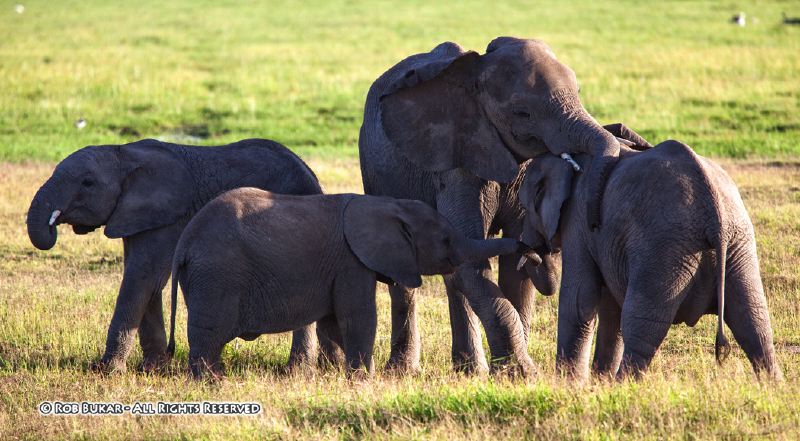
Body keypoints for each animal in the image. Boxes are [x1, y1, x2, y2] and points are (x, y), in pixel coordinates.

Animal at [26, 138, 324, 372]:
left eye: (87, 183)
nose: (53, 227)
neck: (123, 154)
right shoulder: (136, 217)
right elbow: (147, 281)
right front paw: (152, 368)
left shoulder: (167, 217)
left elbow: (141, 277)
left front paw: (106, 371)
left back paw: (296, 372)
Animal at [167, 187, 532, 376]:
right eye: (445, 240)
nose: (527, 247)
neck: (385, 204)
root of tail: (183, 243)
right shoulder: (350, 262)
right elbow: (360, 318)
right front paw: (363, 379)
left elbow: (334, 322)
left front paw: (346, 375)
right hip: (216, 276)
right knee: (208, 337)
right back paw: (211, 384)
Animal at [360, 37, 652, 372]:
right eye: (522, 113)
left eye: (578, 93)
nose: (626, 134)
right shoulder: (457, 164)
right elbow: (472, 261)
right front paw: (523, 373)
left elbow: (511, 271)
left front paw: (511, 372)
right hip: (375, 170)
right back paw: (405, 370)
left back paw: (470, 370)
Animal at [520, 139, 780, 380]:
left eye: (524, 208)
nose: (530, 254)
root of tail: (714, 217)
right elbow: (610, 307)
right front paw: (598, 384)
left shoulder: (578, 221)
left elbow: (578, 301)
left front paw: (572, 386)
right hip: (738, 246)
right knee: (754, 322)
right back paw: (771, 386)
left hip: (664, 250)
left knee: (642, 328)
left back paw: (623, 388)